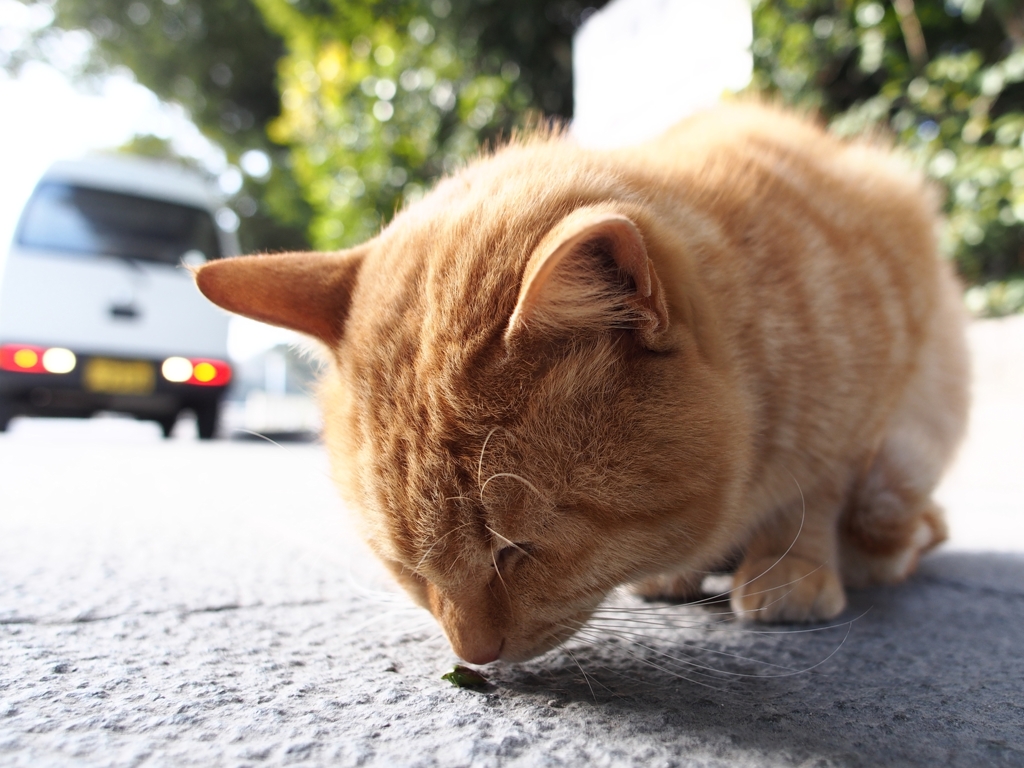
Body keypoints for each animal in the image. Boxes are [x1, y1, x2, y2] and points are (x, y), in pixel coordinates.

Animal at [197, 102, 966, 663]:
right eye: (404, 565)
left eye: (516, 551)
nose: (473, 657)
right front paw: (676, 570)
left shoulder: (866, 404)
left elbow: (814, 491)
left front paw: (790, 563)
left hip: (905, 464)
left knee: (901, 525)